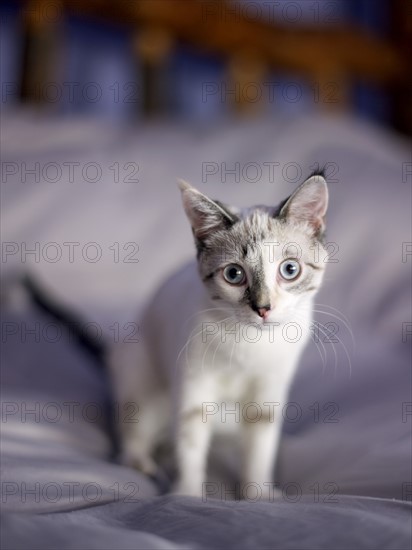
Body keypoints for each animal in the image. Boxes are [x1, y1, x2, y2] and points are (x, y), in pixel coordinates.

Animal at [108, 174, 328, 500]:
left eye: (290, 270)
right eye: (234, 275)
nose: (263, 308)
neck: (250, 344)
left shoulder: (268, 391)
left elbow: (260, 450)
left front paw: (258, 495)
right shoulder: (193, 385)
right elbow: (190, 444)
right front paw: (187, 495)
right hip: (141, 380)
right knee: (135, 428)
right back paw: (139, 462)